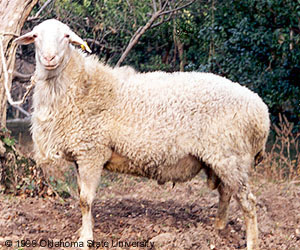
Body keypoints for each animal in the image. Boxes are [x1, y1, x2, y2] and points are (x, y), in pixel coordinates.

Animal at [14, 19, 270, 250]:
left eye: (66, 37)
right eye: (35, 36)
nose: (49, 59)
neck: (79, 87)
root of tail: (262, 111)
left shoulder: (92, 152)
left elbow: (85, 200)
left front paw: (85, 239)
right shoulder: (81, 155)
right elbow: (80, 196)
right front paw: (82, 232)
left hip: (230, 156)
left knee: (248, 202)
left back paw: (251, 242)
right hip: (223, 158)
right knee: (226, 193)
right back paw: (218, 228)